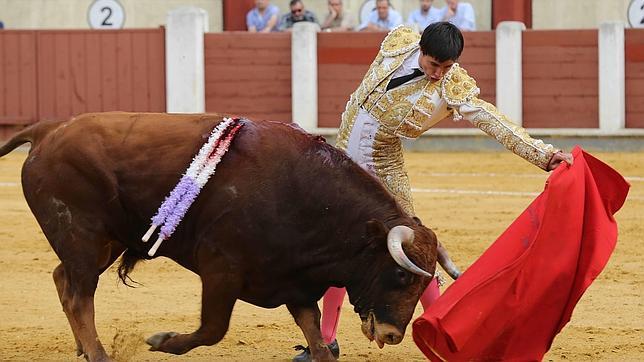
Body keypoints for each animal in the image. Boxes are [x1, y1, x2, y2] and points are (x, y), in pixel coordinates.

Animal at [0, 113, 458, 362]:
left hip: (106, 243)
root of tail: (49, 129)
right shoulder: (220, 269)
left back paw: (83, 348)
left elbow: (317, 341)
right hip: (82, 234)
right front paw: (161, 340)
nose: (393, 335)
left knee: (63, 279)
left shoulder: (294, 283)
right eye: (401, 275)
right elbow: (212, 329)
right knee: (80, 293)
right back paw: (97, 353)